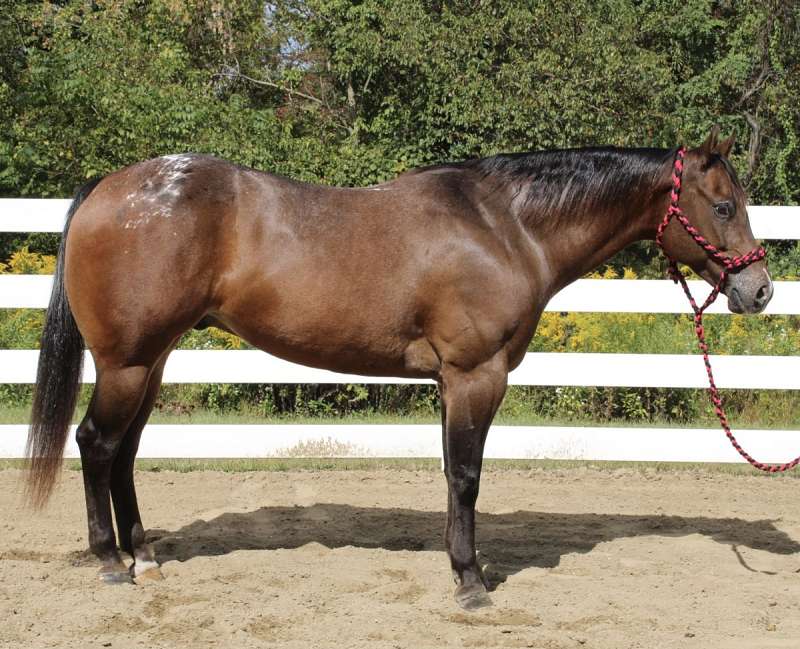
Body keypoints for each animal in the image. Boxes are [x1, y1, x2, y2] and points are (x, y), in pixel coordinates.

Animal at [25, 127, 772, 609]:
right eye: (724, 205)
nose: (759, 290)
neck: (507, 227)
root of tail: (110, 187)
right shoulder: (476, 375)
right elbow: (467, 475)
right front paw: (471, 583)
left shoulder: (452, 383)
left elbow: (451, 474)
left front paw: (457, 566)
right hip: (127, 363)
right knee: (96, 445)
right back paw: (110, 563)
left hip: (151, 361)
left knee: (124, 454)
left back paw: (144, 557)